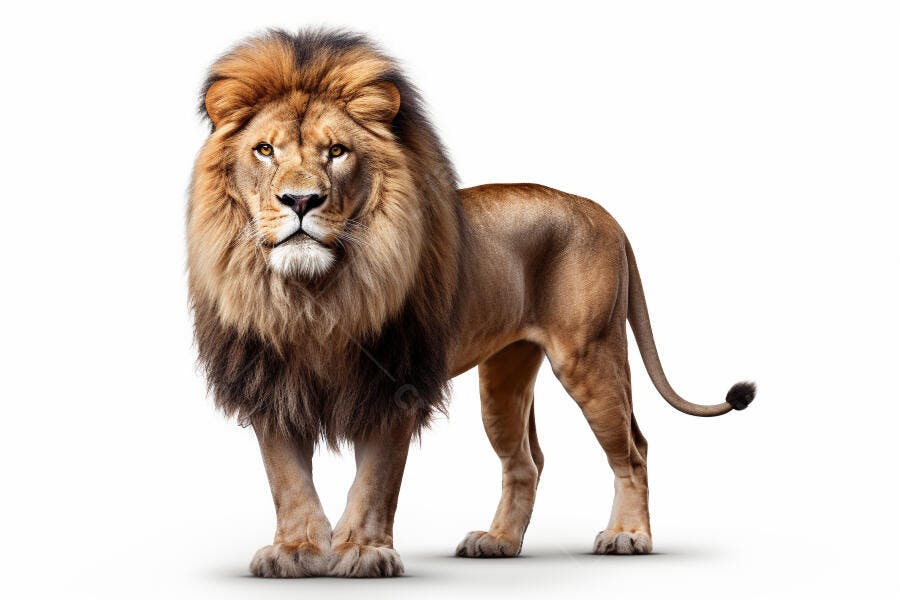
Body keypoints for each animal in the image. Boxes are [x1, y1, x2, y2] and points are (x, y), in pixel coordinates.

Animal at [188, 29, 755, 578]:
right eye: (265, 150)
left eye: (337, 152)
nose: (300, 201)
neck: (313, 293)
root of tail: (601, 212)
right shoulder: (269, 383)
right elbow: (287, 479)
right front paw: (297, 551)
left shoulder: (397, 380)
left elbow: (375, 478)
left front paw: (364, 553)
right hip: (503, 376)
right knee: (527, 461)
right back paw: (498, 542)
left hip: (589, 354)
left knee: (634, 449)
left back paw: (628, 536)